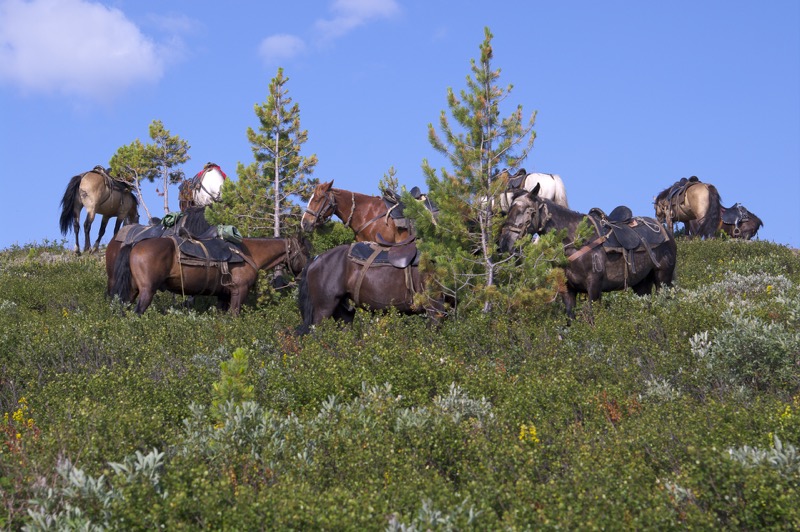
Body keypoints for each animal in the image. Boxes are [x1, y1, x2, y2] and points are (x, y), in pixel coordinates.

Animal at [111, 234, 310, 316]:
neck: (250, 254)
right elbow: (234, 316)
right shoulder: (240, 291)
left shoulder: (223, 295)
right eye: (305, 252)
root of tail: (134, 245)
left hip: (132, 291)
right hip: (147, 291)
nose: (304, 274)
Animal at [500, 186, 676, 320]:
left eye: (526, 211)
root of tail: (666, 233)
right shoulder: (568, 290)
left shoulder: (594, 286)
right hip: (641, 284)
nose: (505, 243)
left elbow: (592, 319)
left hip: (663, 279)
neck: (574, 241)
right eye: (509, 210)